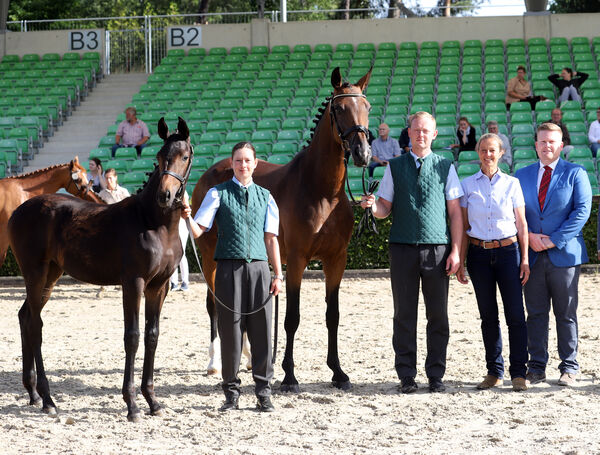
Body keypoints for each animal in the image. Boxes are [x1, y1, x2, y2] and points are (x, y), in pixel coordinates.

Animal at [8, 116, 193, 420]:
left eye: (184, 157)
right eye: (159, 156)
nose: (165, 196)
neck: (154, 222)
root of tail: (17, 212)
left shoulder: (160, 286)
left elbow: (152, 336)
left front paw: (153, 401)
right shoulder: (134, 283)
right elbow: (132, 337)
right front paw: (132, 405)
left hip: (51, 275)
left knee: (25, 316)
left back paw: (33, 394)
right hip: (35, 273)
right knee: (34, 323)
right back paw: (48, 399)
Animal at [192, 67, 370, 392]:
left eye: (367, 106)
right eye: (339, 108)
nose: (362, 152)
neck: (322, 191)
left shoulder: (336, 260)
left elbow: (333, 315)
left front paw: (338, 372)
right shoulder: (298, 260)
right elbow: (292, 318)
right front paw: (288, 376)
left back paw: (249, 358)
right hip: (210, 256)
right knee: (214, 304)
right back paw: (214, 363)